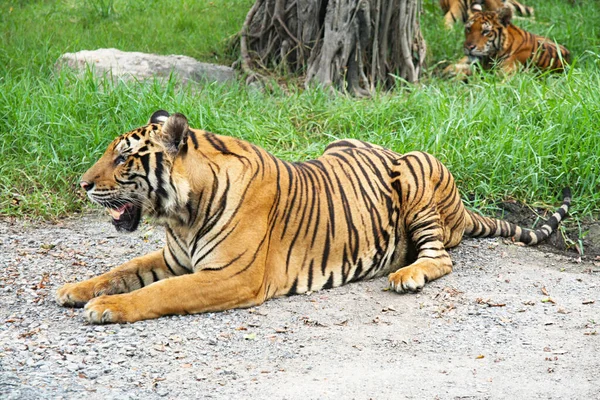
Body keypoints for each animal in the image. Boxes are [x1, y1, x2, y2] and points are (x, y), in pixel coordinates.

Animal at [56, 111, 572, 324]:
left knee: (441, 257)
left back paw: (406, 275)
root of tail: (462, 207)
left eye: (124, 158)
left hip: (416, 172)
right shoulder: (175, 258)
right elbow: (122, 270)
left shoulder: (231, 276)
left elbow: (160, 292)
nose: (82, 184)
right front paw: (75, 290)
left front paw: (106, 308)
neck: (180, 214)